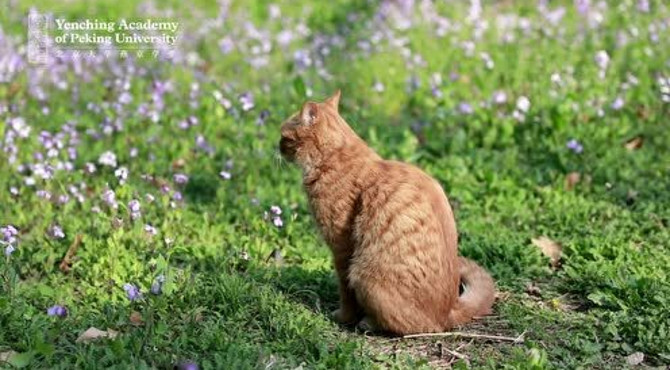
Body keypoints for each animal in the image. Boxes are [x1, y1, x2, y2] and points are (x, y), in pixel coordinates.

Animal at [280, 90, 496, 336]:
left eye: (283, 137)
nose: (277, 148)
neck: (336, 158)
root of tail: (448, 313)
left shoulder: (341, 249)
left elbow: (345, 293)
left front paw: (344, 317)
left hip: (365, 277)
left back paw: (368, 323)